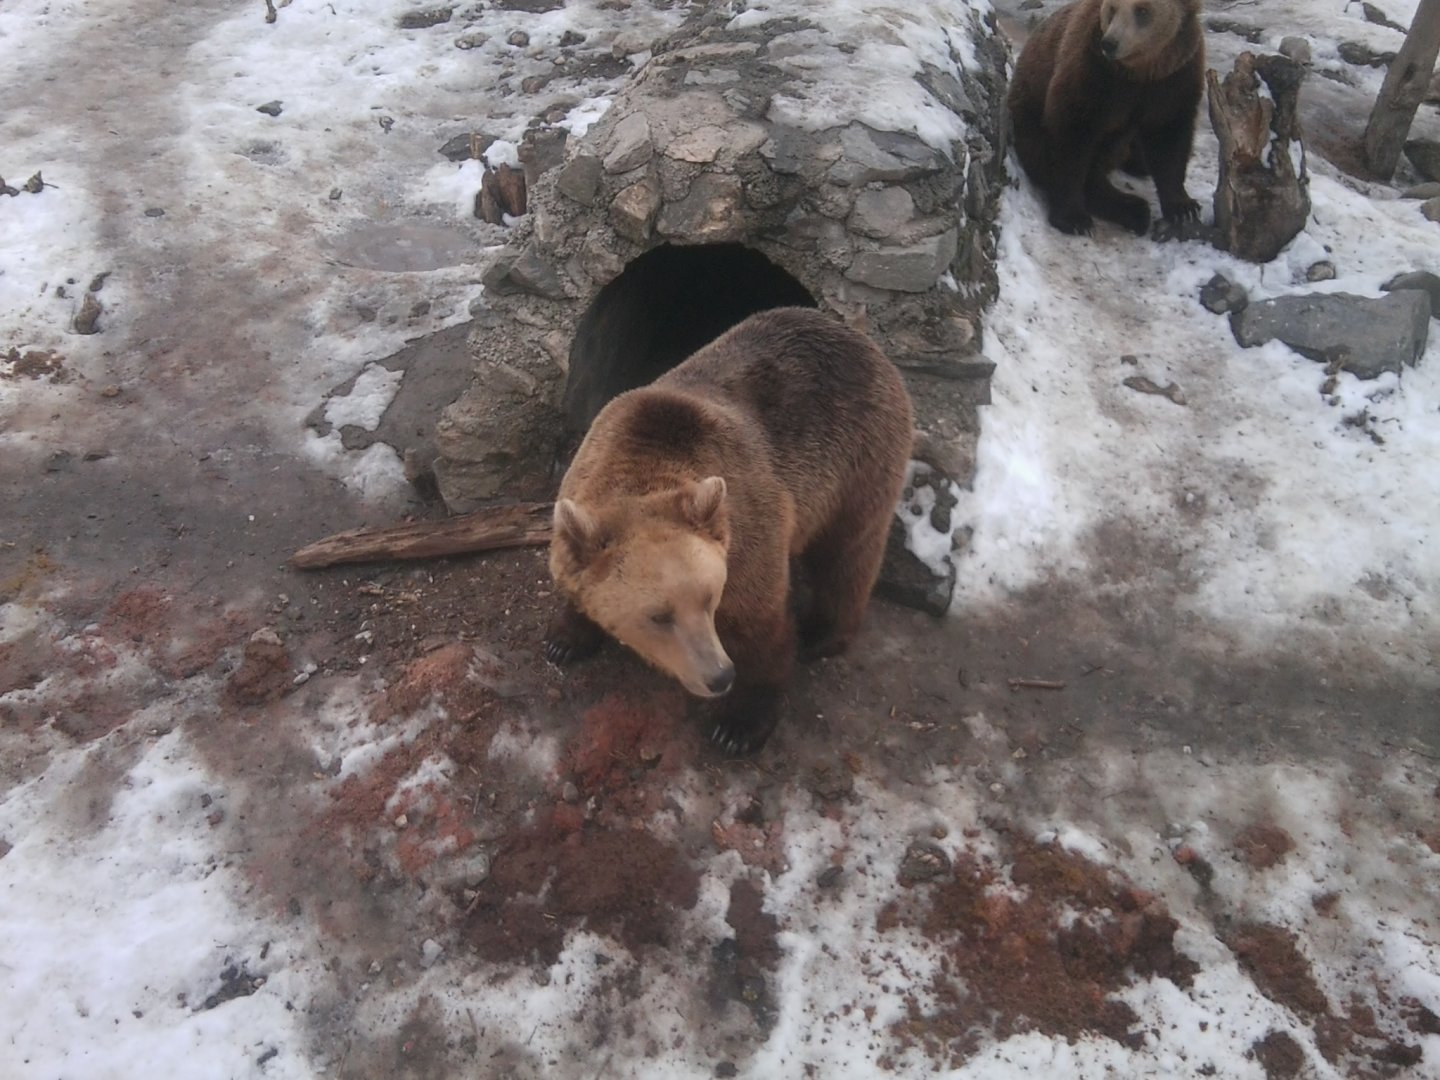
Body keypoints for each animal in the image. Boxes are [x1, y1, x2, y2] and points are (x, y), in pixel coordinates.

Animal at [545, 306, 914, 755]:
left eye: (709, 597)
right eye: (659, 616)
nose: (719, 675)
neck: (645, 464)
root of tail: (862, 341)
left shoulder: (748, 532)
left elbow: (762, 629)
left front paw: (738, 726)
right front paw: (564, 639)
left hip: (860, 458)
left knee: (847, 553)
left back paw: (820, 634)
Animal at [1007, 0, 1205, 236]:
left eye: (1142, 10)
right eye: (1112, 9)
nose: (1110, 43)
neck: (1140, 71)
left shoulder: (1174, 78)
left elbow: (1169, 139)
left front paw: (1183, 208)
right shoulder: (1093, 73)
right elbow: (1071, 141)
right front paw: (1074, 219)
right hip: (1027, 115)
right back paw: (1134, 210)